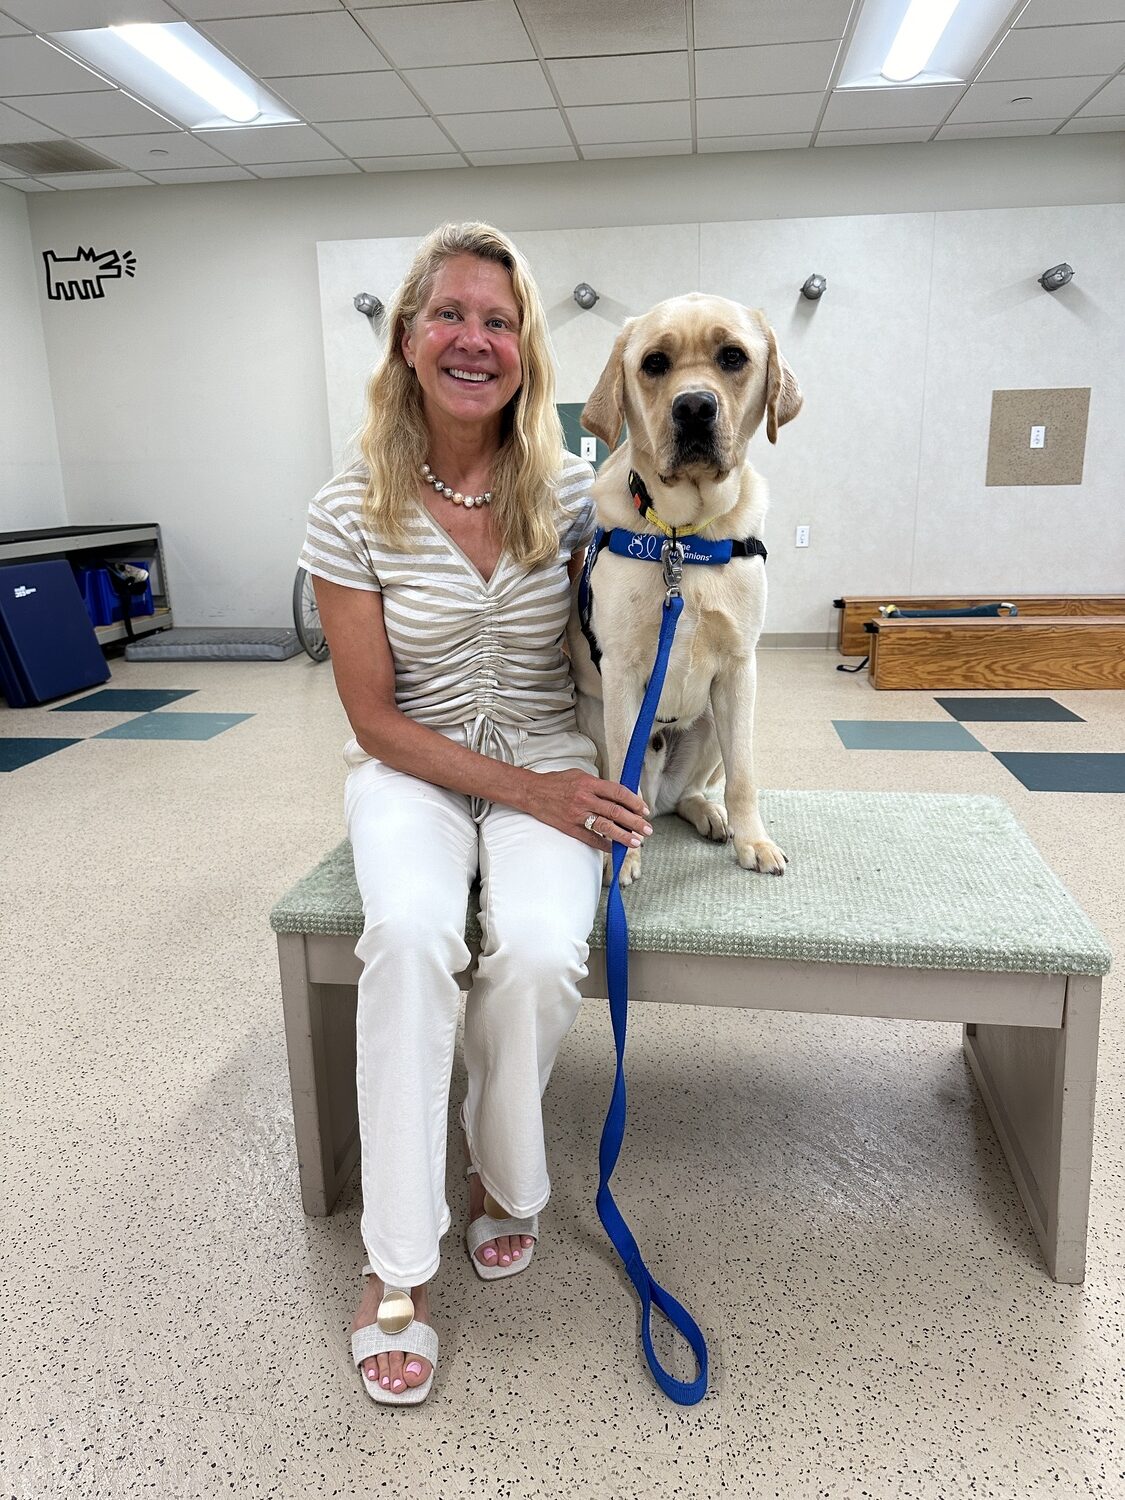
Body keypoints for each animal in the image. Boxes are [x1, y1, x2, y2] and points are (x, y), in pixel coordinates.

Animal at [573, 289, 804, 888]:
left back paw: (711, 814)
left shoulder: (741, 669)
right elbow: (620, 785)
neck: (684, 540)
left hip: (710, 728)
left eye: (733, 357)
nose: (695, 407)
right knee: (632, 792)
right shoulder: (622, 671)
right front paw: (622, 858)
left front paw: (754, 841)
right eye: (654, 363)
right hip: (591, 724)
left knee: (688, 795)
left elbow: (745, 776)